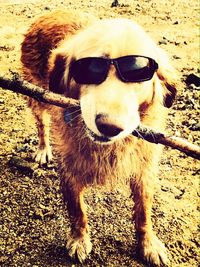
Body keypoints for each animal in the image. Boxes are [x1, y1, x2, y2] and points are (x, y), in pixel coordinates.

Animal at [20, 9, 177, 266]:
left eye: (139, 73)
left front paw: (149, 244)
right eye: (89, 70)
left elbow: (144, 211)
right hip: (37, 96)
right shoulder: (69, 168)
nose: (110, 126)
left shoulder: (144, 168)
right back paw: (43, 149)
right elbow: (77, 210)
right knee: (42, 123)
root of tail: (53, 11)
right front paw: (79, 239)